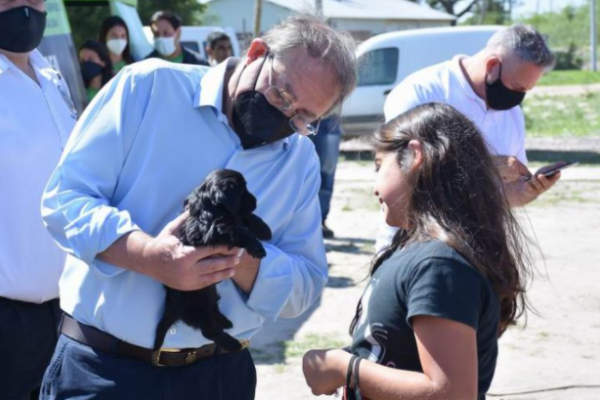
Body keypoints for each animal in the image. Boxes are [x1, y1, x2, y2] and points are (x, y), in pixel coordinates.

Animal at [154, 170, 270, 352]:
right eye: (241, 192)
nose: (256, 201)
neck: (210, 207)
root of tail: (170, 307)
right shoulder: (210, 231)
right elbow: (239, 228)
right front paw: (257, 247)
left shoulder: (232, 217)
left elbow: (244, 218)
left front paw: (264, 229)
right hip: (197, 304)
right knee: (208, 331)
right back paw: (233, 344)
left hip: (211, 296)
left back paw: (226, 322)